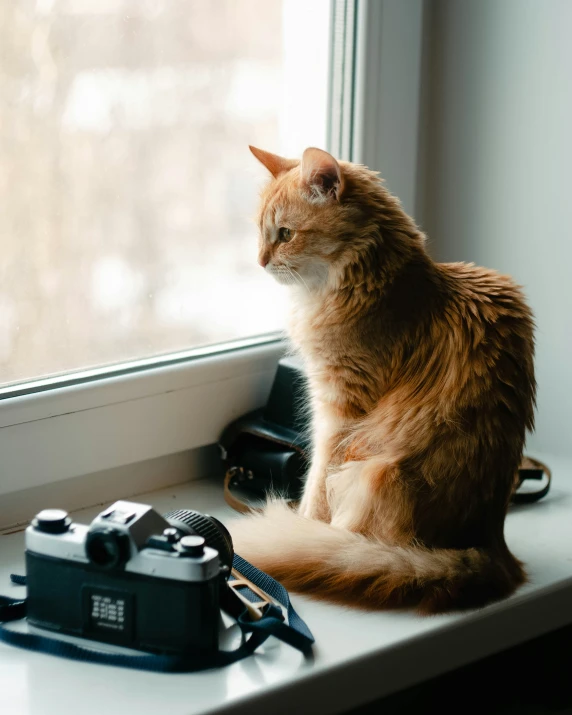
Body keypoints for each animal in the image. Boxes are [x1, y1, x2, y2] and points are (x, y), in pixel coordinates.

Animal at [229, 147, 536, 616]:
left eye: (285, 234)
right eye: (263, 235)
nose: (261, 262)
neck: (376, 282)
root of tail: (488, 547)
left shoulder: (339, 409)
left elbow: (315, 481)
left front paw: (304, 523)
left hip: (373, 473)